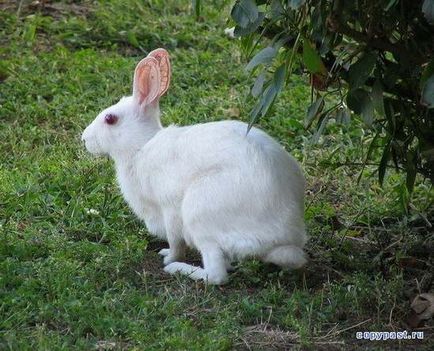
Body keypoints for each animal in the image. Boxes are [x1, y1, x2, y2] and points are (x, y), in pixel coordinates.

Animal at [83, 48, 306, 284]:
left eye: (110, 119)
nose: (84, 138)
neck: (141, 147)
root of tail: (284, 239)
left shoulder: (170, 209)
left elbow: (175, 242)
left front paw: (169, 257)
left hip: (199, 214)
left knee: (217, 275)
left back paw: (179, 269)